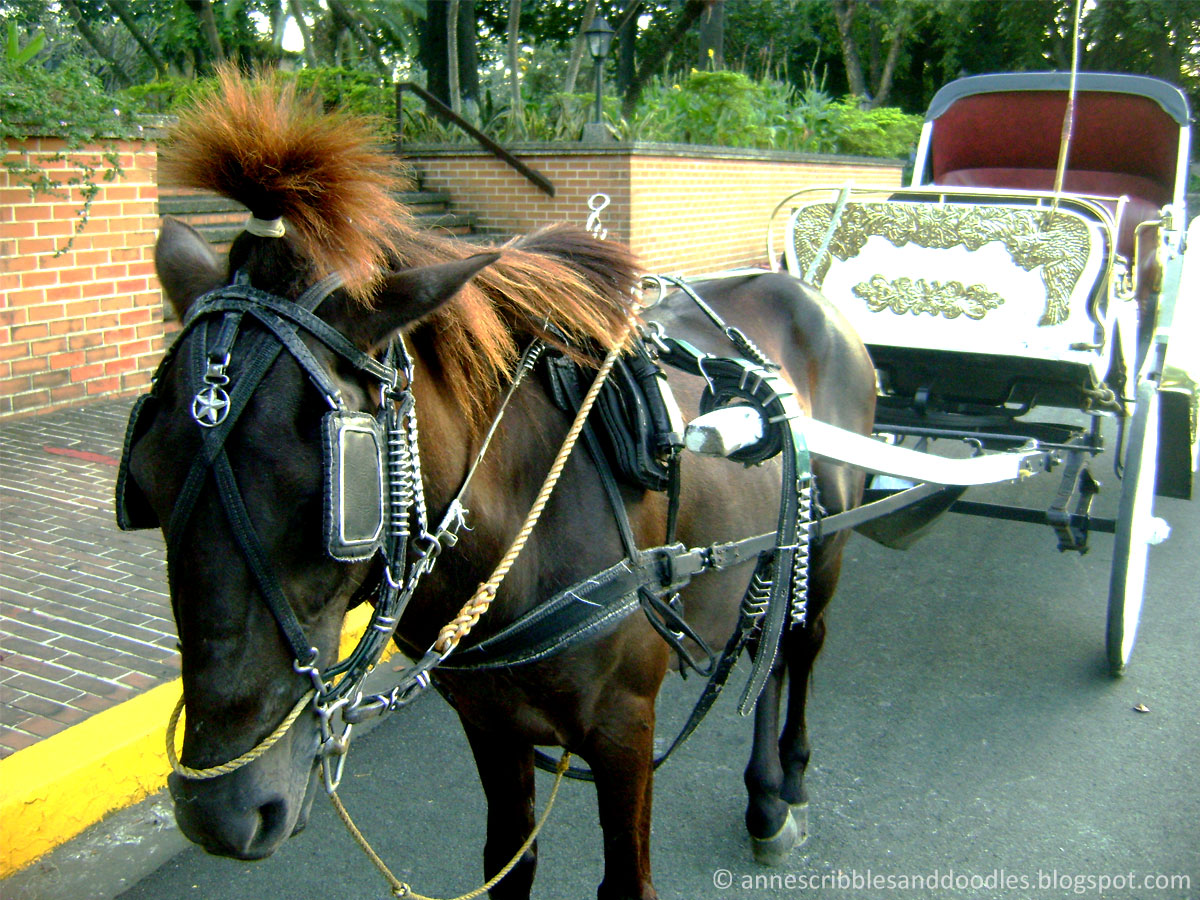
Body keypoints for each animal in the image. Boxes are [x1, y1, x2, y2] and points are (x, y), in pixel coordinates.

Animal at [124, 70, 873, 900]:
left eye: (336, 500)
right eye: (146, 485)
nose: (220, 811)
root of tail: (804, 292)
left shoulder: (623, 728)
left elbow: (627, 881)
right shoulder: (491, 723)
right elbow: (507, 863)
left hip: (828, 544)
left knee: (801, 643)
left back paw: (783, 786)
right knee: (765, 642)